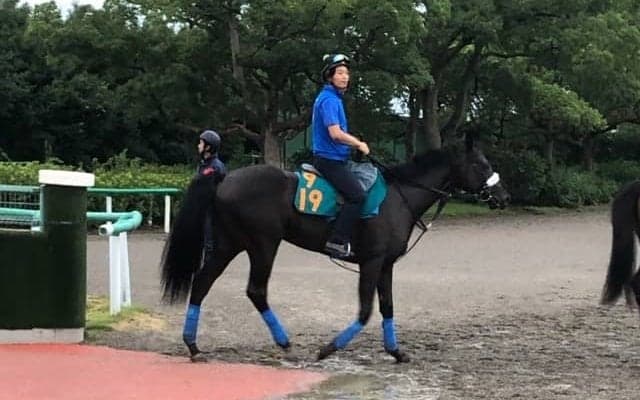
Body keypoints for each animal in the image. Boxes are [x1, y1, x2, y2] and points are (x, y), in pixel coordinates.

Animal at [160, 135, 510, 363]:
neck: (399, 197)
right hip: (263, 244)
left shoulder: (386, 264)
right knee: (255, 290)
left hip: (228, 245)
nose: (504, 197)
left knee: (202, 283)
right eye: (481, 164)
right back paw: (284, 343)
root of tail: (223, 178)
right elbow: (365, 311)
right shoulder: (372, 262)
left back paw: (193, 346)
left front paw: (396, 351)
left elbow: (387, 307)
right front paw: (329, 348)